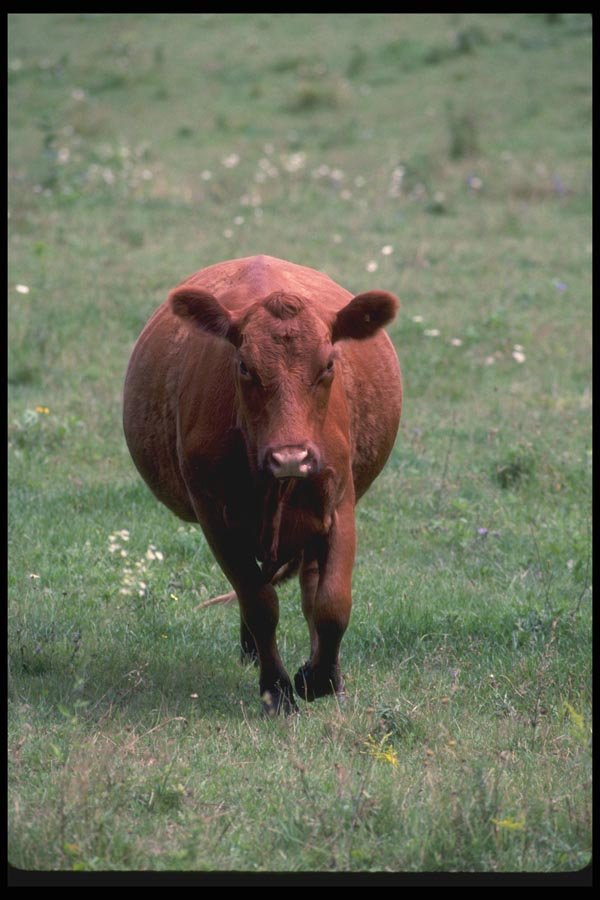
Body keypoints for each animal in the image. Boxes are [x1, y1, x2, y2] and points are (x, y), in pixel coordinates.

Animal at [123, 255, 402, 715]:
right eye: (244, 366)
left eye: (329, 364)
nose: (291, 457)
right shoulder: (214, 516)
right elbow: (259, 603)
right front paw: (277, 689)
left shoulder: (339, 501)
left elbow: (332, 603)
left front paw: (320, 679)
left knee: (311, 589)